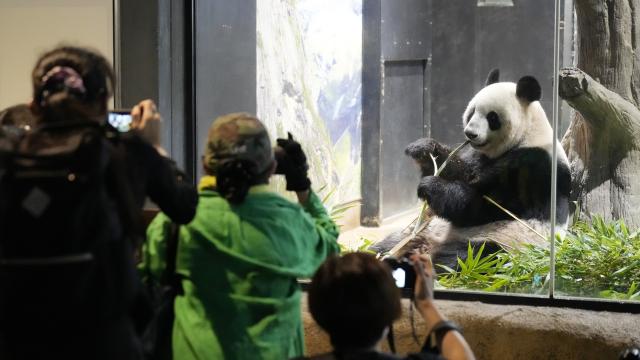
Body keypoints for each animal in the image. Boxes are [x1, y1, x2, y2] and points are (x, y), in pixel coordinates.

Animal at [376, 69, 568, 268]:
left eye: (492, 117)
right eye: (472, 111)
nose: (470, 133)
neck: (528, 134)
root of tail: (427, 245)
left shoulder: (533, 168)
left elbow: (485, 206)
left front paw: (431, 186)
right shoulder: (477, 155)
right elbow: (463, 171)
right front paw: (424, 149)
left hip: (502, 242)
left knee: (468, 257)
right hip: (420, 231)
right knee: (388, 243)